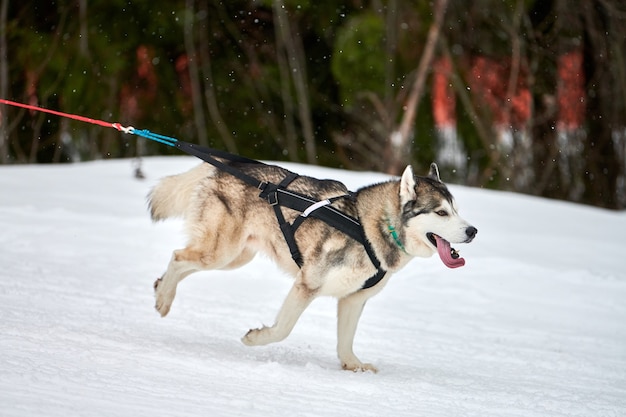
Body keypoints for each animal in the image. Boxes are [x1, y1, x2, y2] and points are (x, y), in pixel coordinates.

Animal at [149, 160, 476, 370]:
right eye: (441, 212)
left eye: (456, 209)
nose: (473, 230)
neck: (367, 229)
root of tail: (221, 165)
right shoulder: (307, 284)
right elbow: (282, 330)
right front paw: (255, 339)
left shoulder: (353, 299)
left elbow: (345, 341)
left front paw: (353, 365)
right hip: (221, 252)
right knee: (178, 256)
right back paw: (164, 298)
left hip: (234, 258)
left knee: (184, 261)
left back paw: (161, 289)